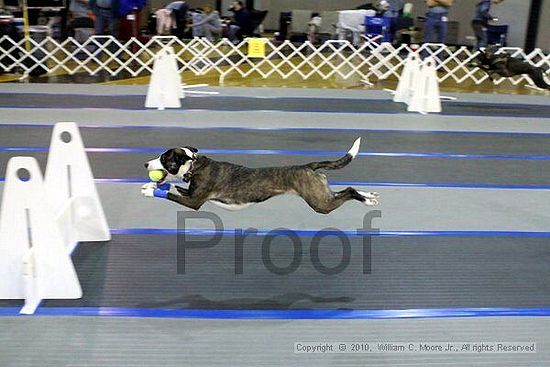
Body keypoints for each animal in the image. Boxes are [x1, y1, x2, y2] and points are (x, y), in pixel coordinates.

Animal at [143, 137, 380, 213]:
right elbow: (172, 187)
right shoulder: (190, 192)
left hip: (320, 203)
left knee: (348, 191)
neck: (195, 165)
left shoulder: (193, 202)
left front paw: (149, 191)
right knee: (344, 190)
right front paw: (152, 186)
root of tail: (308, 166)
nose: (146, 163)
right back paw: (369, 195)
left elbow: (171, 194)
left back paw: (367, 200)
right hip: (322, 194)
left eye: (164, 159)